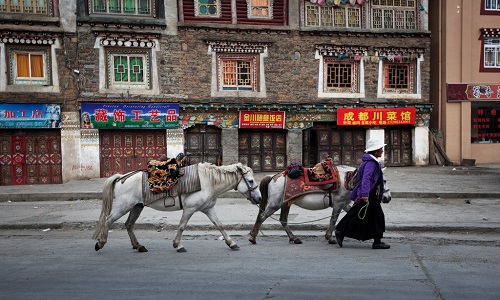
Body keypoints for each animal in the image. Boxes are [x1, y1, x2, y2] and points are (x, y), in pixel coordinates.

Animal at [95, 163, 264, 252]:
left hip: (137, 206)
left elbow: (220, 225)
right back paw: (100, 243)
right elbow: (182, 226)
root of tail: (121, 178)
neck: (208, 181)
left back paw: (139, 246)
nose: (259, 198)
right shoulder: (190, 209)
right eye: (250, 181)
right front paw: (178, 245)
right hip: (124, 206)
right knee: (108, 220)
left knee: (129, 224)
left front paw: (231, 243)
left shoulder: (208, 209)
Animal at [249, 165, 390, 245]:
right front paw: (330, 238)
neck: (348, 181)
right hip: (275, 204)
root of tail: (273, 176)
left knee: (283, 220)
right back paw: (253, 237)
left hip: (285, 203)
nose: (388, 198)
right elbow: (333, 220)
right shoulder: (338, 204)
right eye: (383, 180)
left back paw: (294, 238)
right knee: (262, 217)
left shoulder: (344, 204)